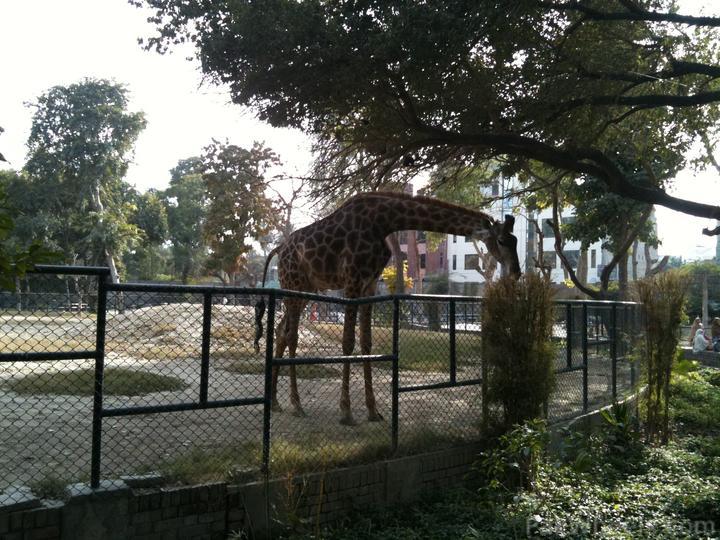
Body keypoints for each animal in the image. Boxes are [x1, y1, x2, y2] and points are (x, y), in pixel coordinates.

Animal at [256, 192, 520, 424]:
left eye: (516, 241)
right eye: (501, 240)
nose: (516, 273)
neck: (383, 222)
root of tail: (279, 249)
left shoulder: (369, 283)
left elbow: (366, 342)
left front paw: (373, 410)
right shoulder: (352, 280)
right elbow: (348, 342)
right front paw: (346, 412)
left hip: (305, 289)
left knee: (282, 332)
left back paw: (277, 402)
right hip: (293, 285)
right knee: (291, 336)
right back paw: (296, 404)